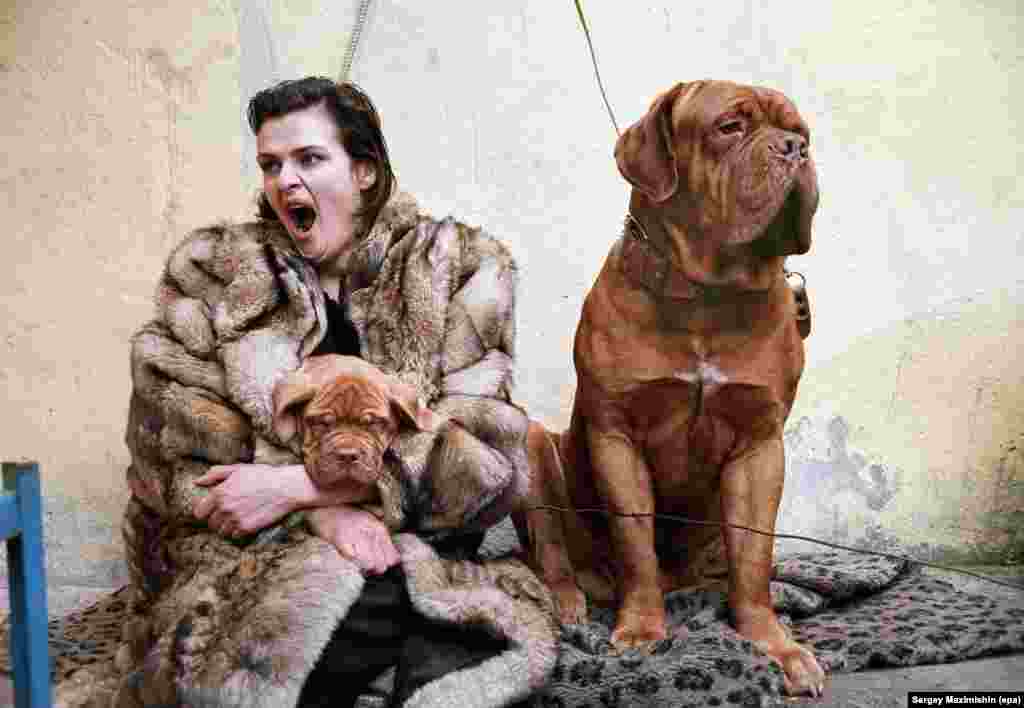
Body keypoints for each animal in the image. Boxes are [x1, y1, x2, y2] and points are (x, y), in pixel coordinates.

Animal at [520, 80, 823, 696]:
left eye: (800, 132)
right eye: (730, 127)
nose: (794, 150)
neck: (708, 295)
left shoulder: (760, 445)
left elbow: (754, 555)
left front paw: (774, 645)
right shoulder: (618, 436)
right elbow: (635, 543)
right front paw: (641, 631)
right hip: (536, 446)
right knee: (555, 550)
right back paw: (567, 605)